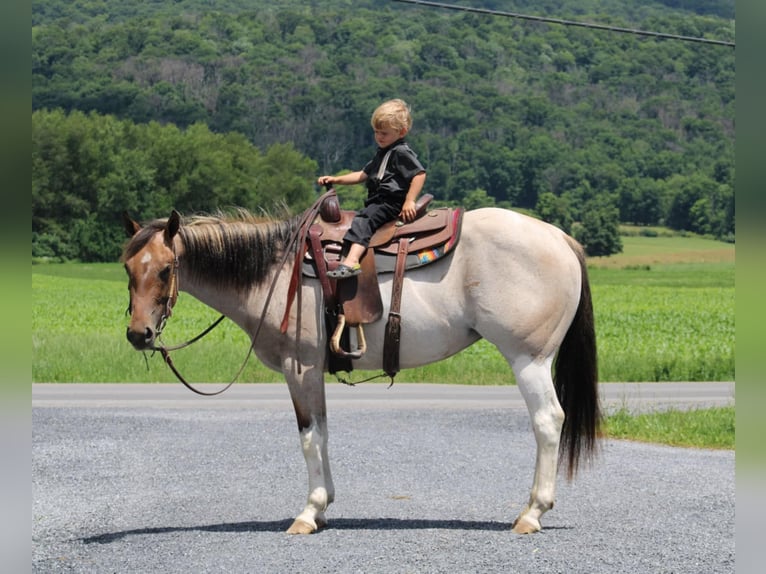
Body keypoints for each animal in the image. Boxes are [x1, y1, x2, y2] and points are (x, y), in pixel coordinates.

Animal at [121, 206, 600, 536]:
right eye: (128, 268)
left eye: (166, 269)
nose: (139, 334)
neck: (275, 272)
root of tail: (559, 237)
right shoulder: (312, 373)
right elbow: (323, 434)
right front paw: (324, 507)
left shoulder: (300, 368)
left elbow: (309, 437)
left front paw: (309, 512)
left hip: (529, 359)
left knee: (547, 421)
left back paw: (532, 513)